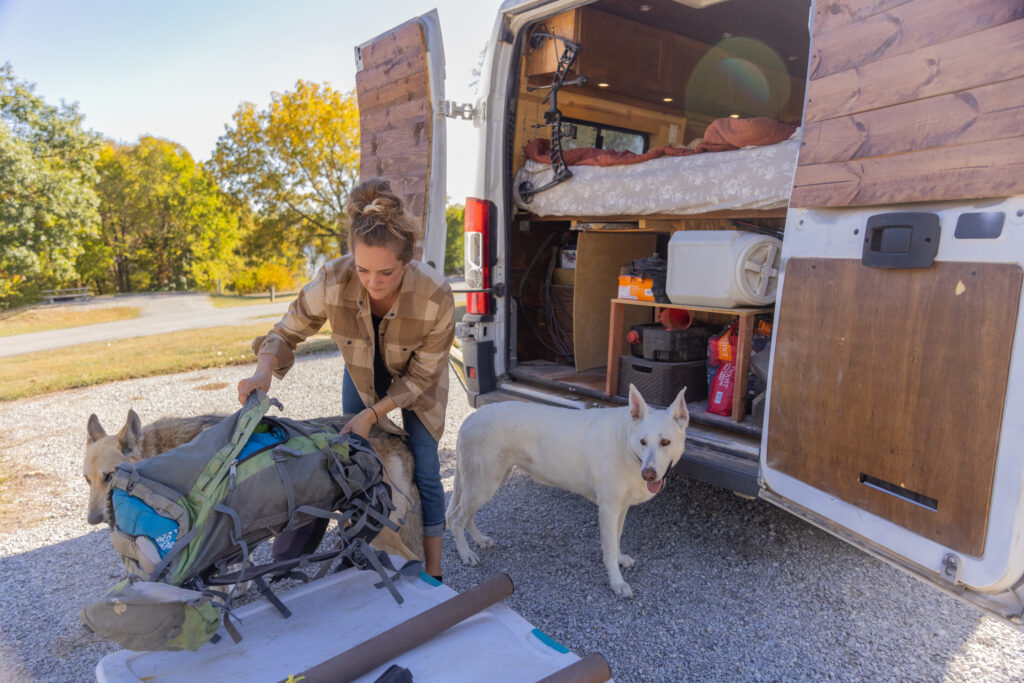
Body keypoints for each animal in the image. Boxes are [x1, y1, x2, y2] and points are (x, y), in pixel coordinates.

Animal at [448, 385, 688, 598]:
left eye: (665, 442)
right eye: (643, 442)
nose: (648, 474)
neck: (627, 445)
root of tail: (470, 419)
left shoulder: (621, 508)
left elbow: (616, 539)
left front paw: (620, 560)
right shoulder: (608, 509)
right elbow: (609, 548)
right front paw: (617, 583)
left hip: (488, 482)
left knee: (467, 516)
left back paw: (480, 540)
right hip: (483, 484)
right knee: (457, 518)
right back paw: (466, 553)